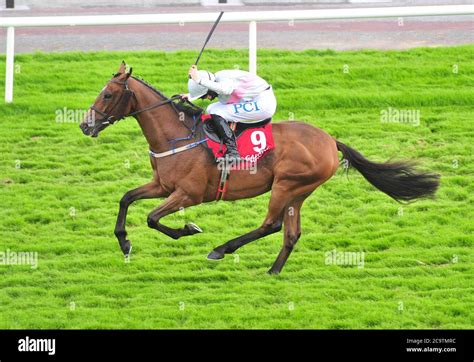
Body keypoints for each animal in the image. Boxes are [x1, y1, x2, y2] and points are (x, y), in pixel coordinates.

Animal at [79, 61, 438, 274]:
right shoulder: (163, 186)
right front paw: (124, 242)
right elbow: (126, 198)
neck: (177, 135)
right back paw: (273, 270)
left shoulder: (188, 194)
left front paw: (189, 229)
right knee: (291, 232)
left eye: (108, 94)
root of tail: (330, 140)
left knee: (272, 225)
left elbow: (153, 219)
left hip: (287, 185)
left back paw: (221, 249)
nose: (85, 125)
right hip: (298, 191)